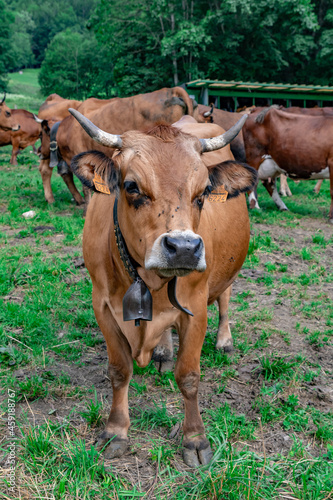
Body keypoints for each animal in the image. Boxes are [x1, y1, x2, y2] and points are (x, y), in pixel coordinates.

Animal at [68, 107, 255, 466]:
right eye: (131, 185)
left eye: (204, 191)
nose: (183, 247)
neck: (149, 280)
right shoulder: (102, 306)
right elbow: (119, 370)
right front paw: (116, 431)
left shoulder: (195, 307)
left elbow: (189, 376)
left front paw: (195, 439)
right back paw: (164, 352)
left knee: (225, 297)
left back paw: (224, 341)